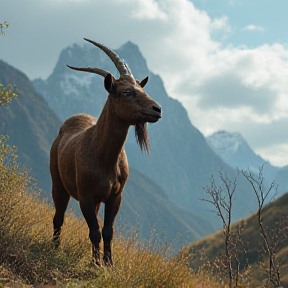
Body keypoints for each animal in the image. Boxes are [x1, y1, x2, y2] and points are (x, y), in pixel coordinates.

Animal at [50, 38, 162, 266]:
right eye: (126, 92)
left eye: (142, 89)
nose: (157, 109)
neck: (104, 157)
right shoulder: (85, 197)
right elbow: (94, 231)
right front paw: (95, 264)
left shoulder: (115, 196)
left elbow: (108, 231)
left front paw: (108, 263)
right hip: (58, 183)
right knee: (58, 217)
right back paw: (54, 248)